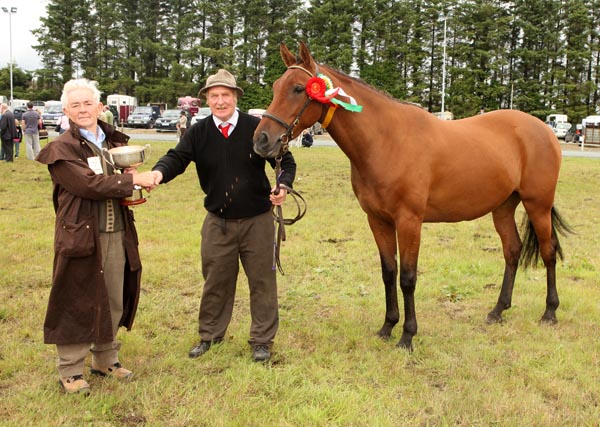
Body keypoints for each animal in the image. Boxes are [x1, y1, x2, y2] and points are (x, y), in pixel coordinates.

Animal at [253, 42, 572, 352]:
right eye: (276, 86)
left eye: (298, 88)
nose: (262, 140)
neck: (387, 141)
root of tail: (543, 129)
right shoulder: (378, 220)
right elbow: (388, 272)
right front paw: (387, 327)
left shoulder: (409, 221)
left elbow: (407, 277)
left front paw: (407, 336)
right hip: (503, 207)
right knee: (512, 251)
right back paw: (498, 310)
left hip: (538, 205)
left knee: (549, 251)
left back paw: (550, 312)